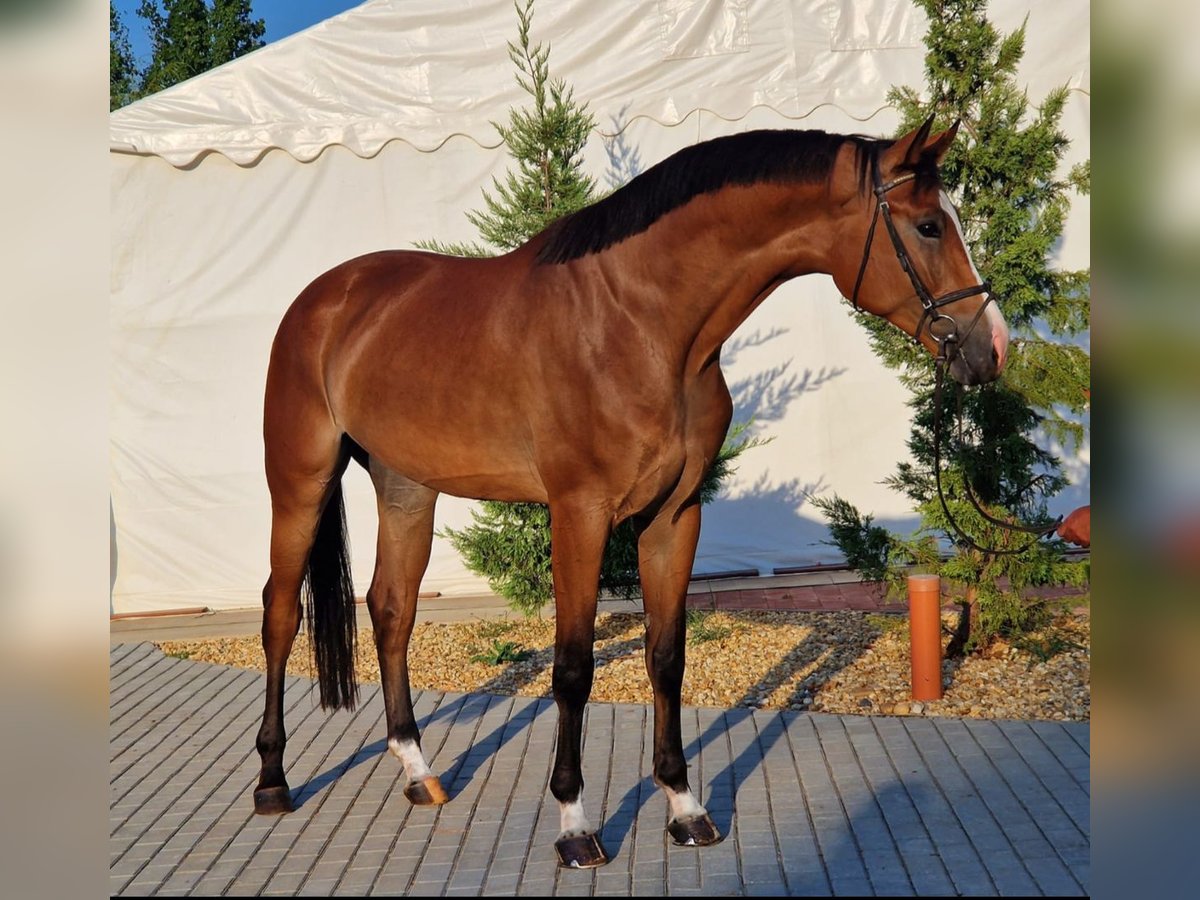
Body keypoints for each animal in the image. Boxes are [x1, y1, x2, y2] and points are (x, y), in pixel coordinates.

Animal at [253, 116, 1003, 868]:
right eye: (929, 226)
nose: (991, 348)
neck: (639, 323)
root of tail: (325, 298)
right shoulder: (579, 513)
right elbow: (573, 667)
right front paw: (575, 825)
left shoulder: (674, 515)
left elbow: (666, 657)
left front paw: (685, 808)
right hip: (298, 481)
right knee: (281, 614)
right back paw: (273, 782)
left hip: (406, 487)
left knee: (391, 610)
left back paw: (418, 772)